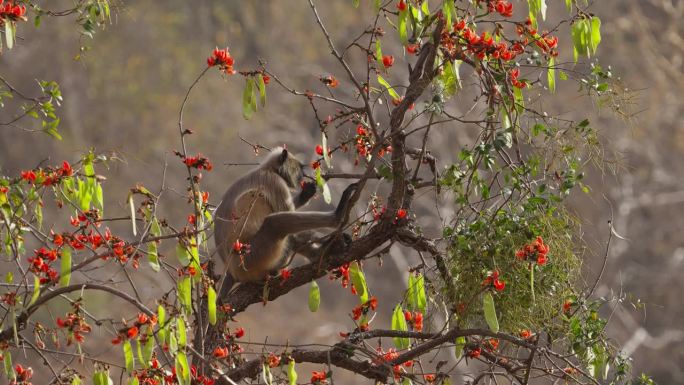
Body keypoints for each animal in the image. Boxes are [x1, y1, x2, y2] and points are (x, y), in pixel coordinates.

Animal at [216, 146, 358, 292]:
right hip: (251, 258)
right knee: (275, 223)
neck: (268, 169)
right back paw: (338, 216)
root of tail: (232, 271)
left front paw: (305, 194)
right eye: (299, 168)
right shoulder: (274, 182)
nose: (303, 174)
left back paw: (322, 252)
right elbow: (288, 216)